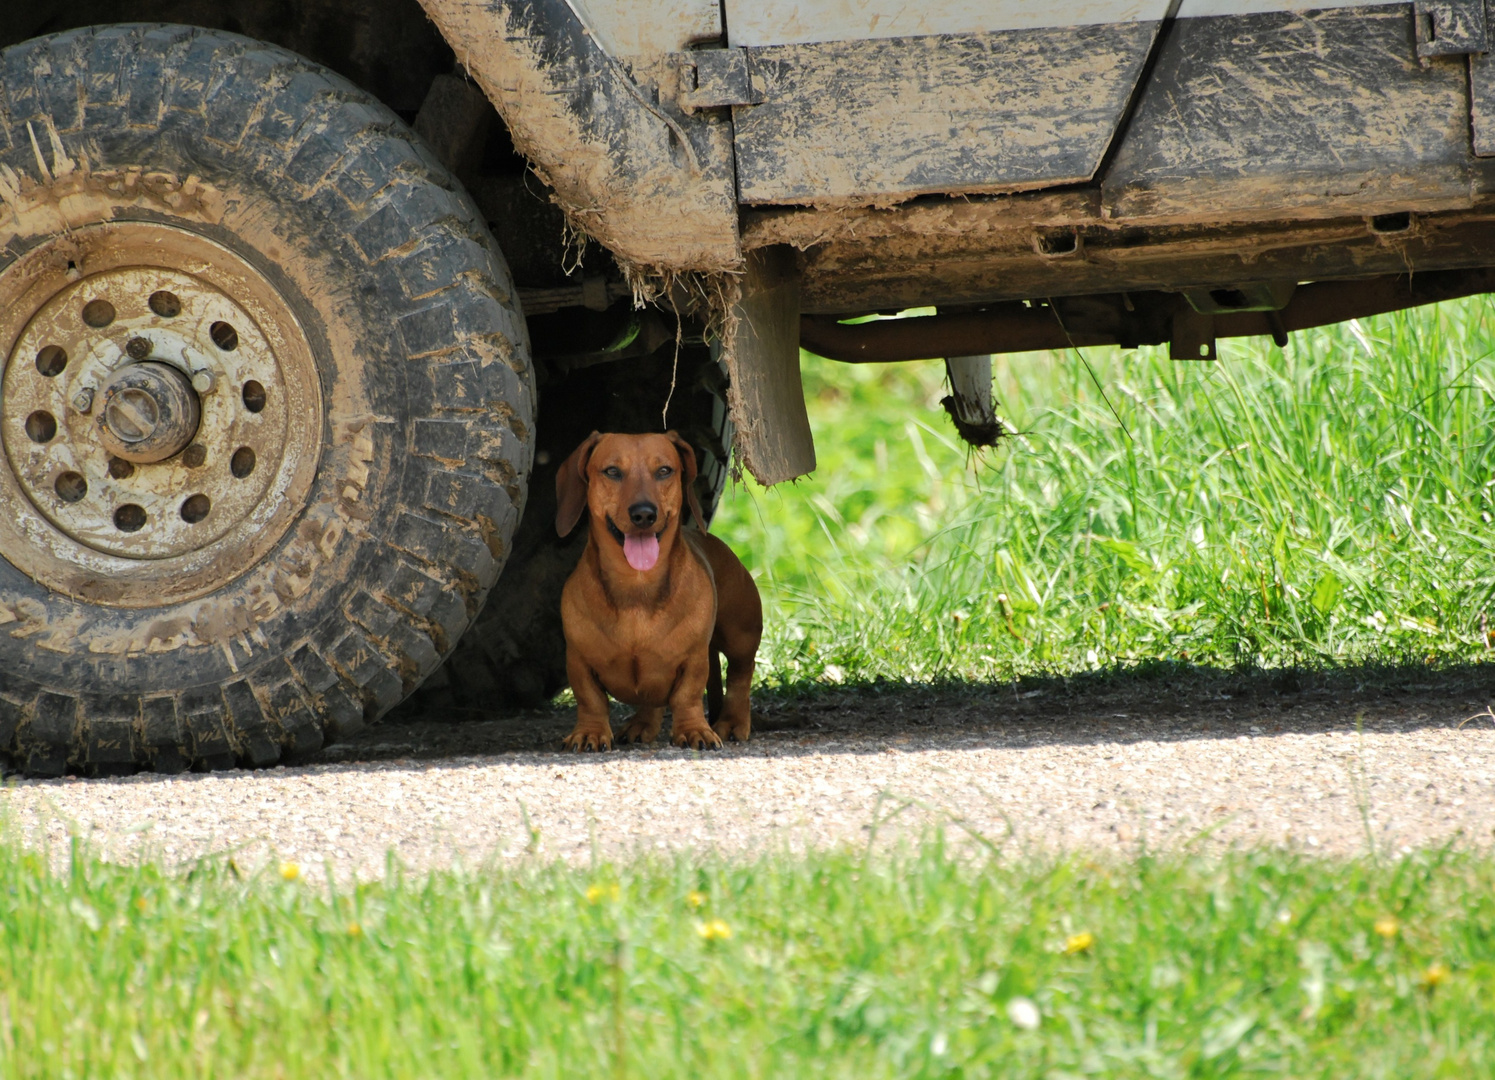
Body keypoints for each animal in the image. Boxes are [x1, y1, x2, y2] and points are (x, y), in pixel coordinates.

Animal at [553, 427, 759, 747]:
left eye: (664, 470)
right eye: (612, 471)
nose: (644, 514)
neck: (637, 585)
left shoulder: (694, 660)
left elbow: (688, 696)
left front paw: (694, 729)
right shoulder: (578, 660)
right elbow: (590, 699)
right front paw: (590, 732)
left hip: (741, 635)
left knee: (740, 676)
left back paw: (733, 722)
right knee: (653, 702)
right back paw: (641, 726)